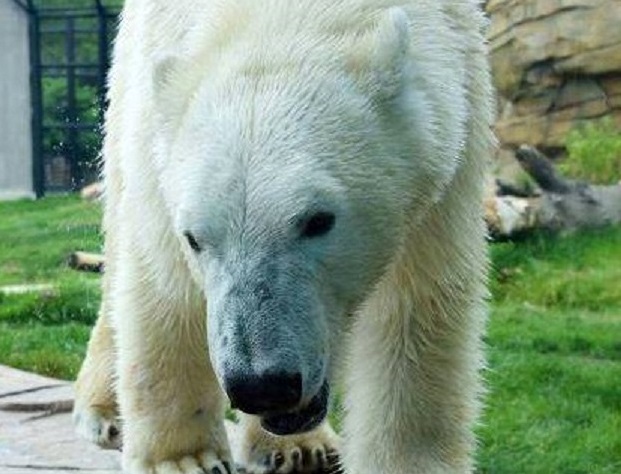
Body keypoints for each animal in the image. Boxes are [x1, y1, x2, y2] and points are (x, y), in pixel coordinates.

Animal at [74, 0, 494, 474]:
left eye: (318, 221)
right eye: (195, 239)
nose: (262, 385)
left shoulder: (452, 137)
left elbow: (413, 314)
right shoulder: (156, 131)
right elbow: (165, 284)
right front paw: (184, 459)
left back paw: (299, 448)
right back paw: (104, 410)